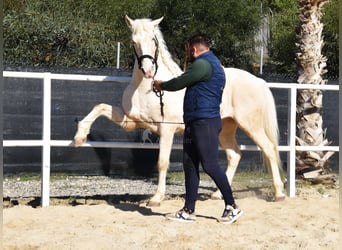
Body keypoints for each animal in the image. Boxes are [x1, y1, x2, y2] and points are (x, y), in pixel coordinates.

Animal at [75, 16, 286, 206]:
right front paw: (79, 137)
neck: (146, 88)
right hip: (226, 128)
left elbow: (162, 162)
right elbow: (100, 107)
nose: (148, 71)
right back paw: (218, 194)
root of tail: (258, 81)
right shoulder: (130, 121)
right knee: (234, 155)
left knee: (268, 149)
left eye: (153, 40)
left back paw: (279, 194)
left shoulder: (166, 129)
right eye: (134, 41)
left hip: (251, 125)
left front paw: (156, 198)